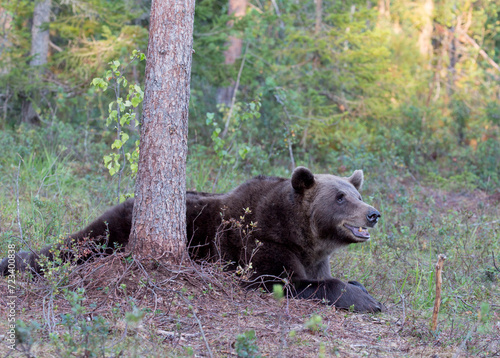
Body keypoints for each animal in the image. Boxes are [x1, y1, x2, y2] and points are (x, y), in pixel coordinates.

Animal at [0, 167, 382, 310]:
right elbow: (278, 279)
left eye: (357, 193)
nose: (373, 213)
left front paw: (360, 287)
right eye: (340, 198)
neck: (302, 235)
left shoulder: (315, 256)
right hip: (116, 229)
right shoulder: (262, 241)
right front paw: (364, 299)